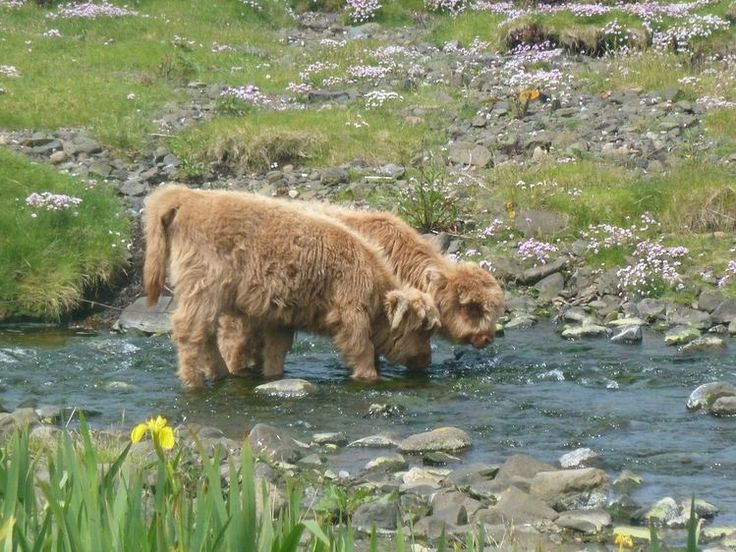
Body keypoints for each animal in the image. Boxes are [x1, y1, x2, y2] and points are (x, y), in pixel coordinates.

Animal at [145, 184, 442, 388]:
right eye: (421, 330)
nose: (427, 360)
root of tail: (187, 197)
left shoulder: (281, 317)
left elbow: (276, 352)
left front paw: (274, 376)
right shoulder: (350, 313)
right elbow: (361, 348)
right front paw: (369, 377)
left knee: (206, 334)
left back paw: (221, 374)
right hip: (204, 287)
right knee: (190, 331)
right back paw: (193, 383)